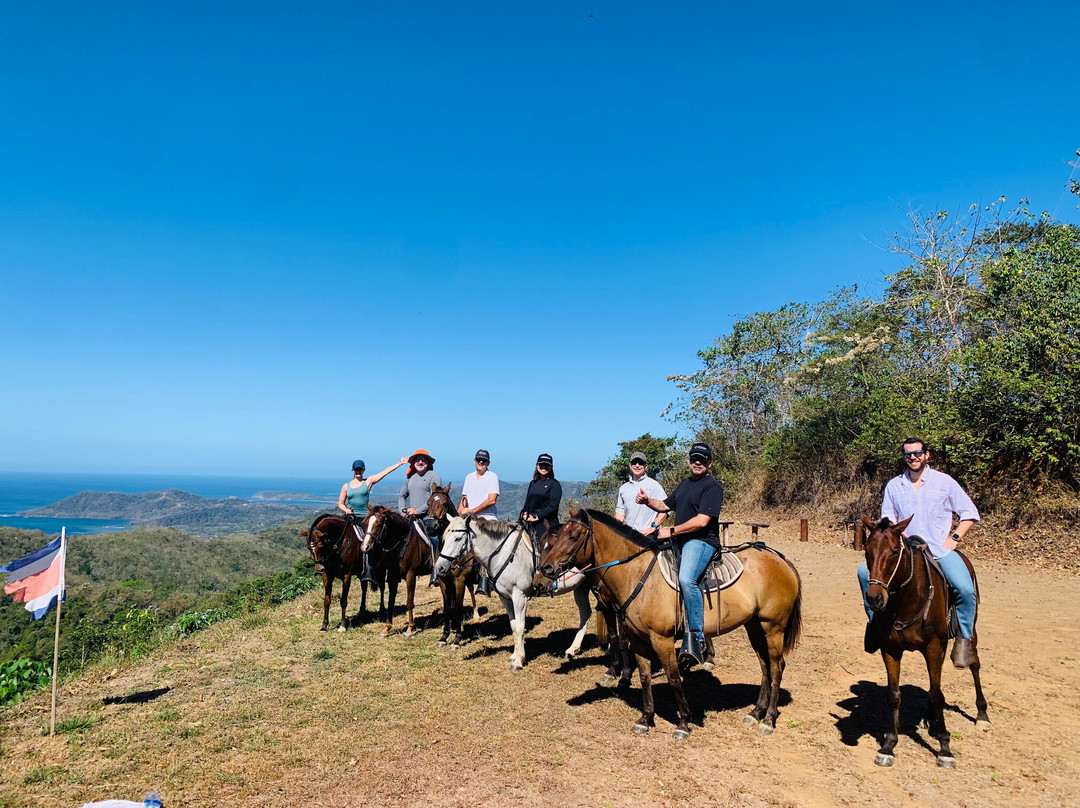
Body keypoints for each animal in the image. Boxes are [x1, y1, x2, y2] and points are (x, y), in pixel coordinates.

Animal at [434, 518, 596, 669]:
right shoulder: (505, 598)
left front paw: (519, 661)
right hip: (581, 587)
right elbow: (513, 626)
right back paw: (573, 649)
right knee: (585, 613)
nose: (440, 567)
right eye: (444, 539)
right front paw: (514, 656)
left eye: (457, 538)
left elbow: (519, 626)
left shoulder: (519, 596)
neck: (504, 554)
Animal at [533, 507, 803, 743]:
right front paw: (645, 718)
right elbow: (644, 676)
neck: (638, 574)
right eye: (551, 539)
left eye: (573, 537)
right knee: (765, 666)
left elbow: (673, 677)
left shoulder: (661, 639)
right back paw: (755, 712)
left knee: (777, 667)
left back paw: (767, 720)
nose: (545, 570)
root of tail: (780, 559)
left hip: (773, 627)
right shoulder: (638, 639)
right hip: (754, 626)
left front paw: (683, 723)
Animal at [855, 518, 989, 769]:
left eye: (894, 551)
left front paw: (945, 749)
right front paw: (889, 745)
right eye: (867, 551)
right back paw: (929, 717)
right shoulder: (891, 650)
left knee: (974, 664)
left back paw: (982, 715)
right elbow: (894, 695)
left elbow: (938, 695)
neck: (905, 601)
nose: (875, 598)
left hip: (971, 627)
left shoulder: (933, 647)